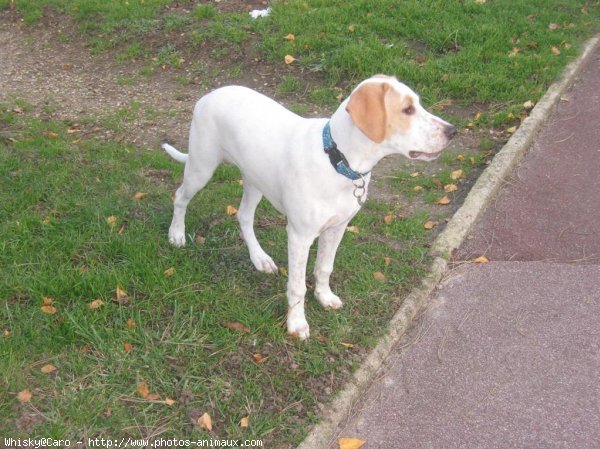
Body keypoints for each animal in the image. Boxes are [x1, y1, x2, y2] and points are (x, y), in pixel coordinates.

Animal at [162, 75, 452, 338]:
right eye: (407, 109)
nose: (452, 131)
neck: (337, 159)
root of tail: (208, 95)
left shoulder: (337, 227)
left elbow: (325, 267)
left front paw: (324, 296)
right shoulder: (299, 236)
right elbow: (297, 286)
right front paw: (297, 323)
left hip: (255, 179)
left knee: (243, 216)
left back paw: (260, 259)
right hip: (201, 167)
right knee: (180, 197)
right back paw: (176, 234)